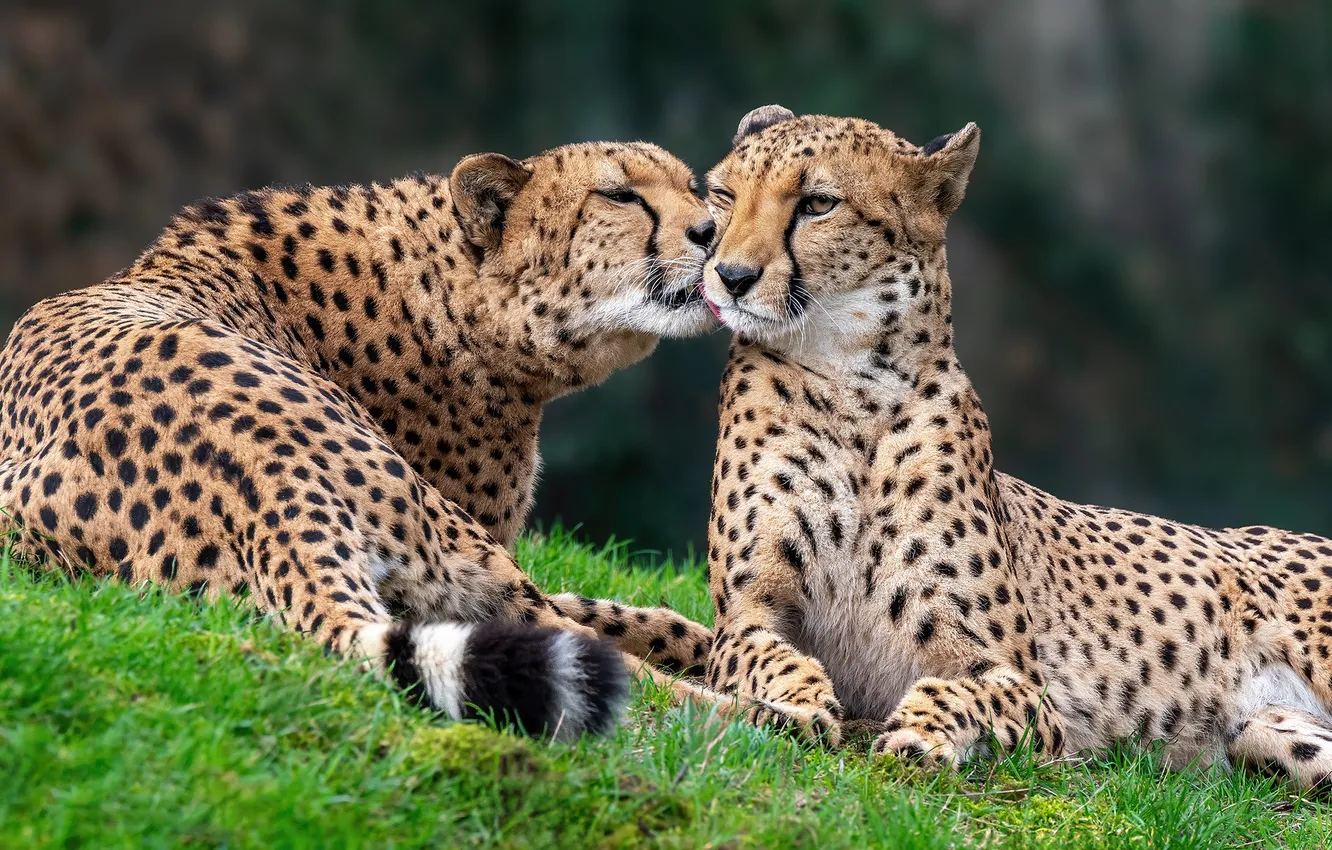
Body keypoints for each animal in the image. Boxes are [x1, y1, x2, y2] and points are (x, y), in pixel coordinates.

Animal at [0, 139, 729, 741]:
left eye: (693, 186)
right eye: (619, 195)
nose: (711, 230)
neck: (455, 296)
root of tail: (264, 482)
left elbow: (627, 611)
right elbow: (604, 619)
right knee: (612, 668)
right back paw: (754, 714)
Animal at [697, 104, 1332, 793]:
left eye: (817, 204)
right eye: (723, 195)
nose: (731, 277)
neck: (852, 384)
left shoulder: (1022, 684)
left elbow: (958, 692)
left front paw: (919, 736)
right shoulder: (747, 616)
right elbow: (765, 654)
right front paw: (796, 702)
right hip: (1271, 733)